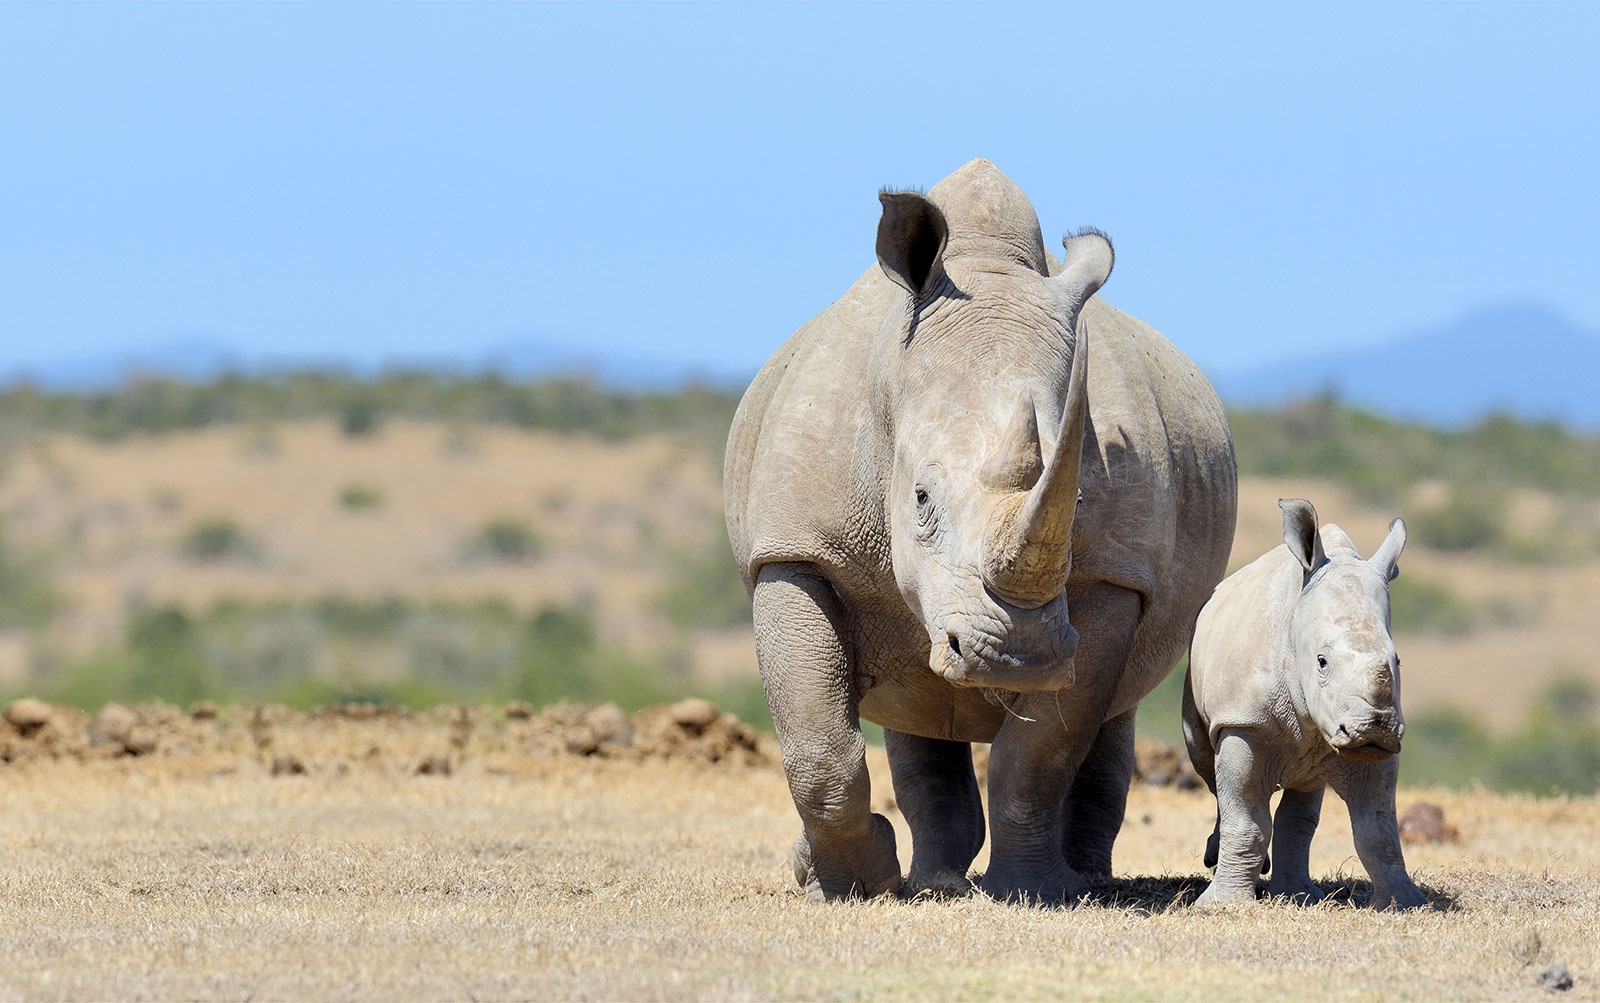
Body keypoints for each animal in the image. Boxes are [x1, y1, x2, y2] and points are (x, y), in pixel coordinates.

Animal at [1190, 499, 1427, 908]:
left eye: (1397, 663)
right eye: (1322, 661)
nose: (1374, 727)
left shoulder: (1375, 748)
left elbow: (1379, 830)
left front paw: (1406, 902)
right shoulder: (1243, 721)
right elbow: (1246, 819)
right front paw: (1223, 905)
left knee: (1304, 792)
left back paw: (1298, 895)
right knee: (1211, 771)